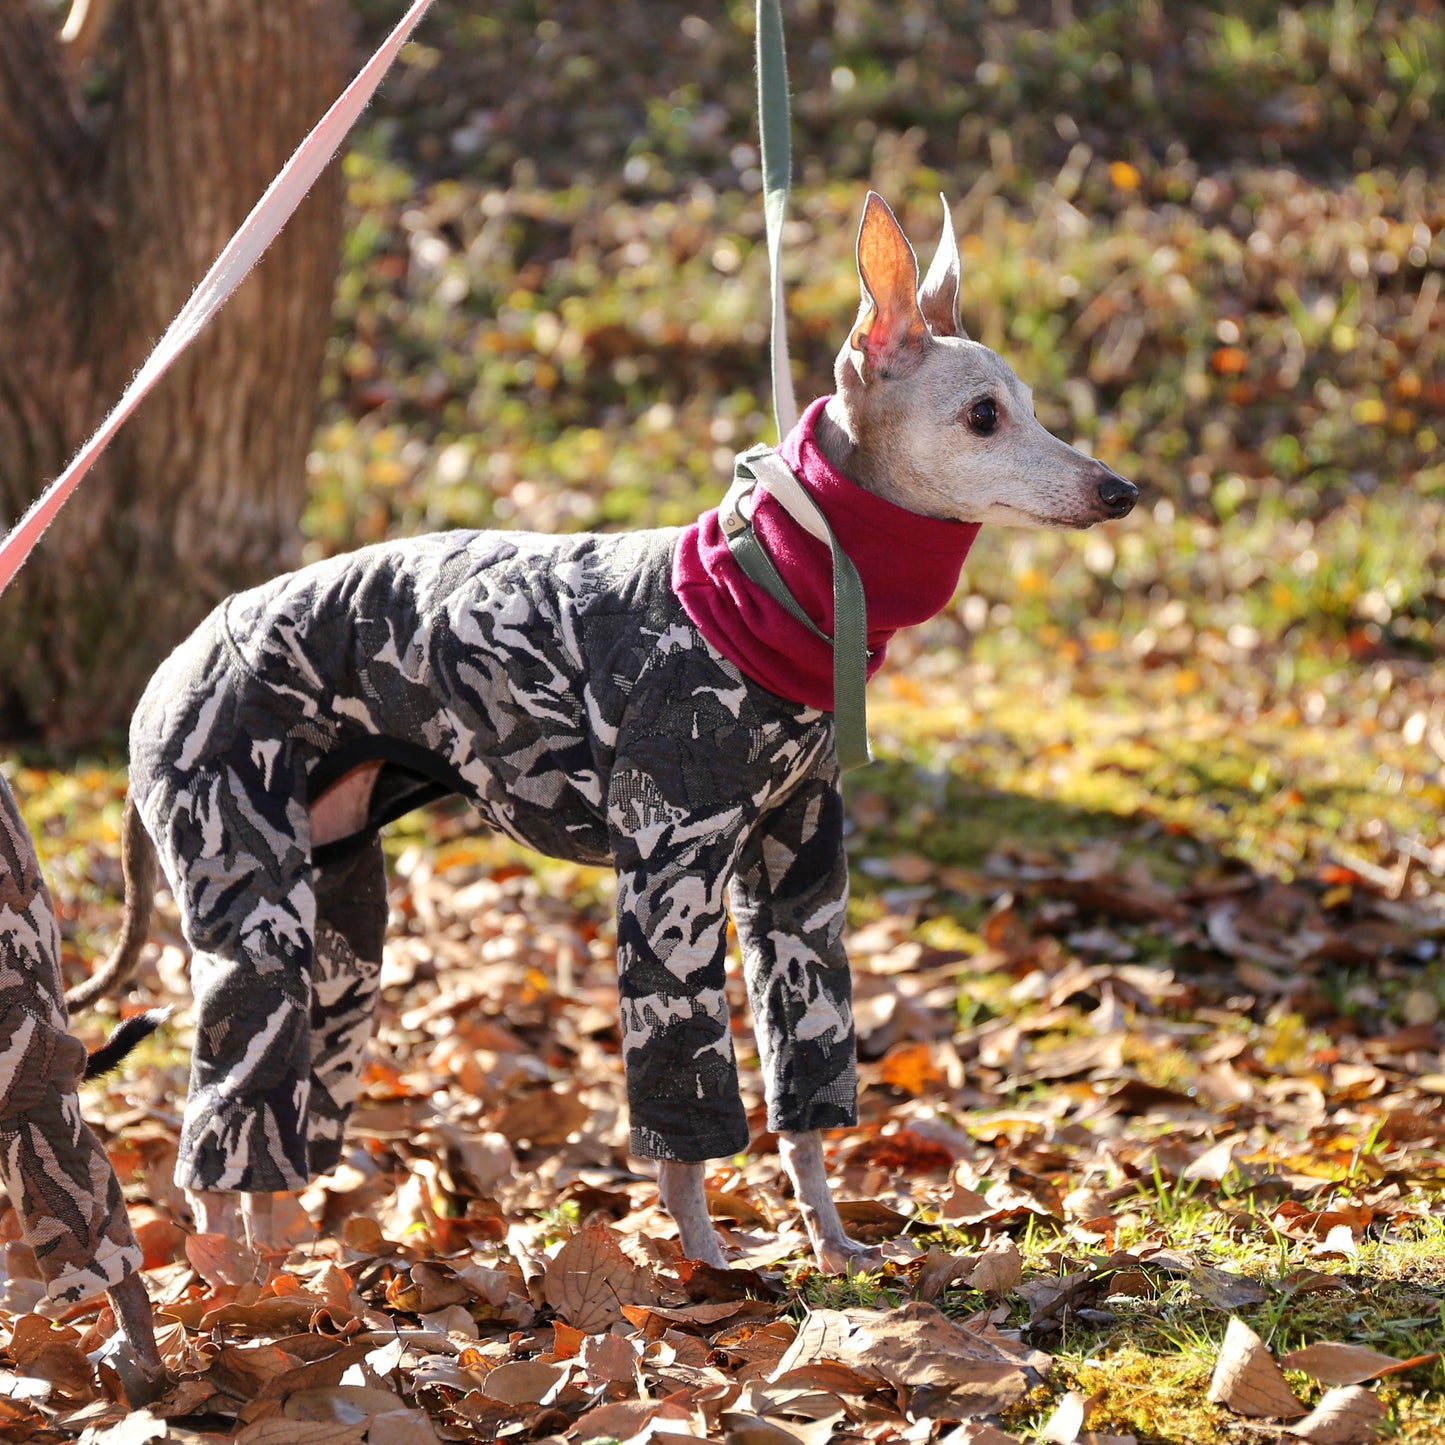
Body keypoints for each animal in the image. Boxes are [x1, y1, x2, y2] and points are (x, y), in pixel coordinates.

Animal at [76, 195, 1138, 1277]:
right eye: (982, 414)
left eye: (1030, 402)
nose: (1119, 491)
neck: (766, 588)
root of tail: (165, 675)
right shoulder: (667, 870)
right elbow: (682, 1105)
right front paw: (708, 1260)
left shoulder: (798, 872)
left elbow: (805, 1085)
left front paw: (830, 1239)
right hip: (251, 896)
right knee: (217, 1122)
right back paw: (238, 1287)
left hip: (339, 919)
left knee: (272, 1114)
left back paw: (280, 1272)